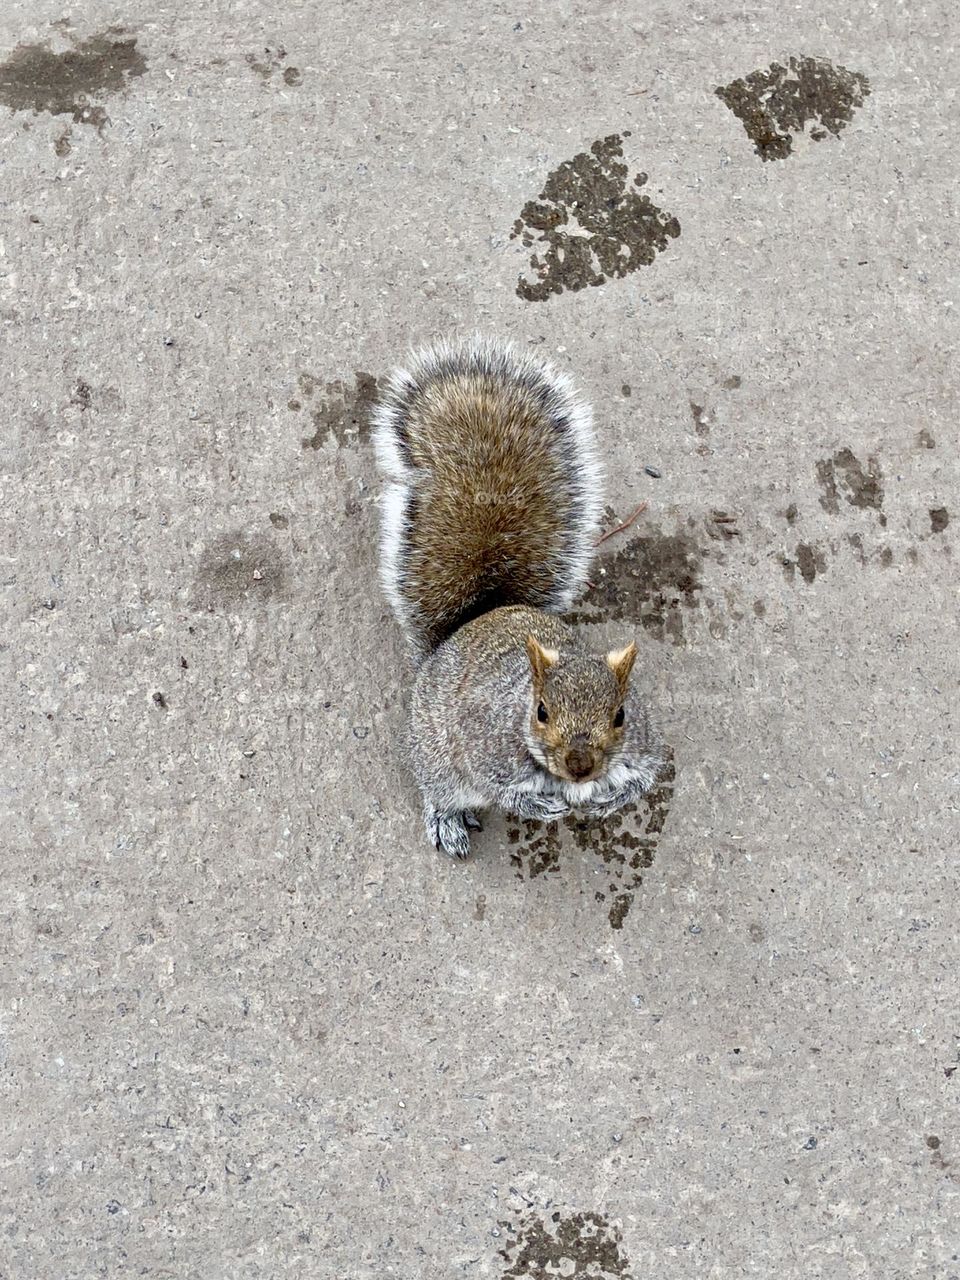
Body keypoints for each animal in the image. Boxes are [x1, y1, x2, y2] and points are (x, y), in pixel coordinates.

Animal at [371, 337, 665, 860]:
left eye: (620, 715)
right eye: (541, 711)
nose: (580, 766)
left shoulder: (644, 742)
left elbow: (645, 776)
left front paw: (609, 801)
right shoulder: (483, 741)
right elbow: (498, 786)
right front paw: (536, 806)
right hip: (436, 755)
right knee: (440, 788)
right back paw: (447, 818)